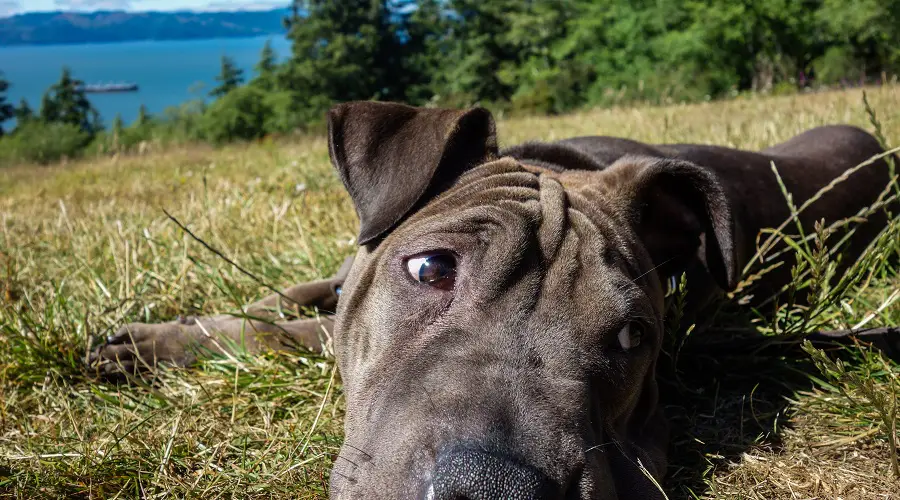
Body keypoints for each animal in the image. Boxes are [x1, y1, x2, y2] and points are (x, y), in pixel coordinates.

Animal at [89, 102, 892, 500]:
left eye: (633, 336)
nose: (494, 491)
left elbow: (287, 329)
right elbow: (284, 300)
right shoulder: (348, 269)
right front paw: (157, 336)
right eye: (430, 268)